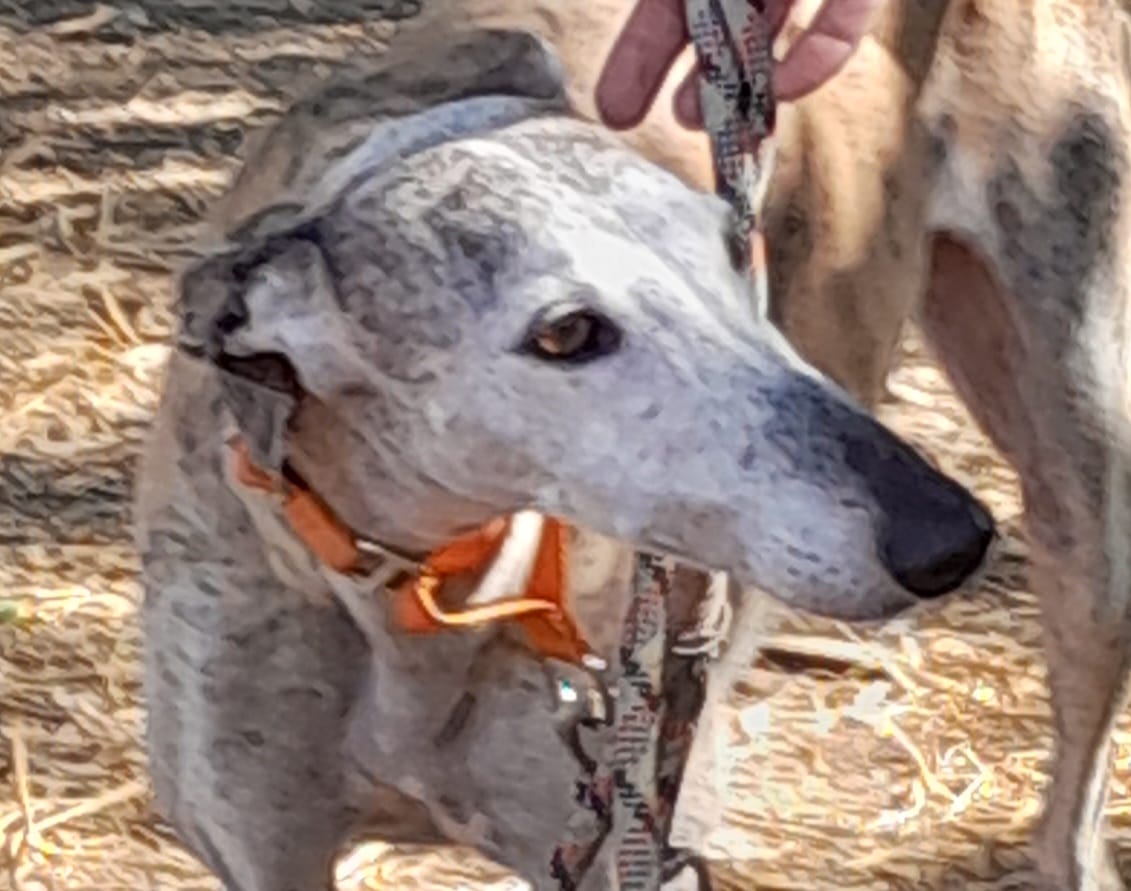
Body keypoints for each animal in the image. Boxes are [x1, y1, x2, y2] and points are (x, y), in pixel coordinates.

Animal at [136, 29, 994, 891]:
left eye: (730, 249)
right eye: (565, 333)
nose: (950, 537)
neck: (421, 597)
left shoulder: (627, 840)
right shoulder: (258, 846)